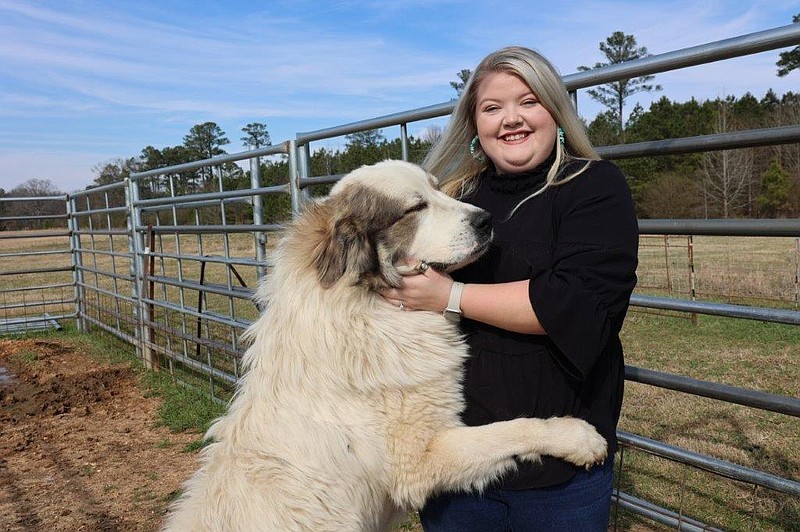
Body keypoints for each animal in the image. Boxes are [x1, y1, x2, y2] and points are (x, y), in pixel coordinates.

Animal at [162, 159, 608, 532]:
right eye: (415, 208)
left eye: (438, 190)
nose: (487, 219)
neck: (367, 304)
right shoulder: (420, 461)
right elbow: (513, 429)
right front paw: (577, 438)